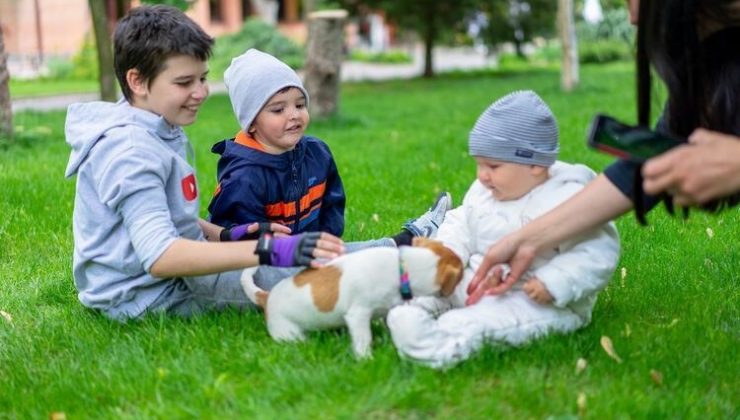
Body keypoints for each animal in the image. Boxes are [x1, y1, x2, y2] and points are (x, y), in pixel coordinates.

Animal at [243, 238, 462, 360]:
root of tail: (266, 296)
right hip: (289, 332)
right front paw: (366, 358)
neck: (404, 266)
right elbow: (364, 338)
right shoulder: (358, 315)